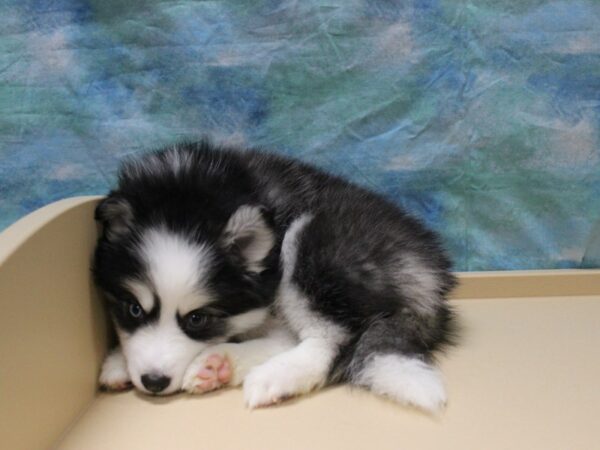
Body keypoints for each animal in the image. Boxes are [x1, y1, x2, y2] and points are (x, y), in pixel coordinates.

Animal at [94, 141, 458, 412]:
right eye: (133, 309)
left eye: (198, 319)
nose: (153, 382)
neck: (188, 198)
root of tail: (431, 273)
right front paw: (119, 360)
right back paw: (220, 364)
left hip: (310, 241)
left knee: (331, 341)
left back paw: (274, 375)